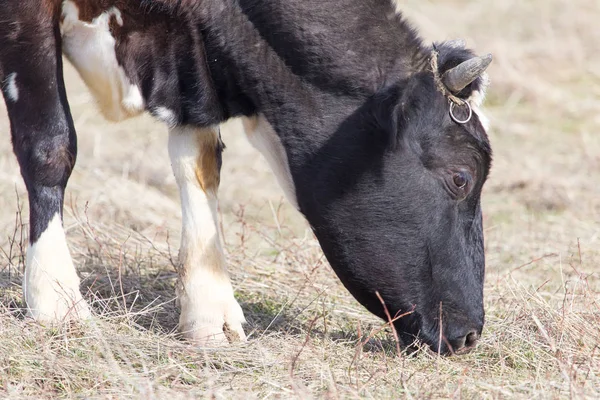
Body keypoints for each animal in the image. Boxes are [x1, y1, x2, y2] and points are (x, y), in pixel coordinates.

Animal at [1, 0, 492, 356]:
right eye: (461, 177)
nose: (470, 334)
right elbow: (50, 143)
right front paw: (55, 298)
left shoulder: (191, 68)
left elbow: (200, 163)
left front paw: (209, 310)